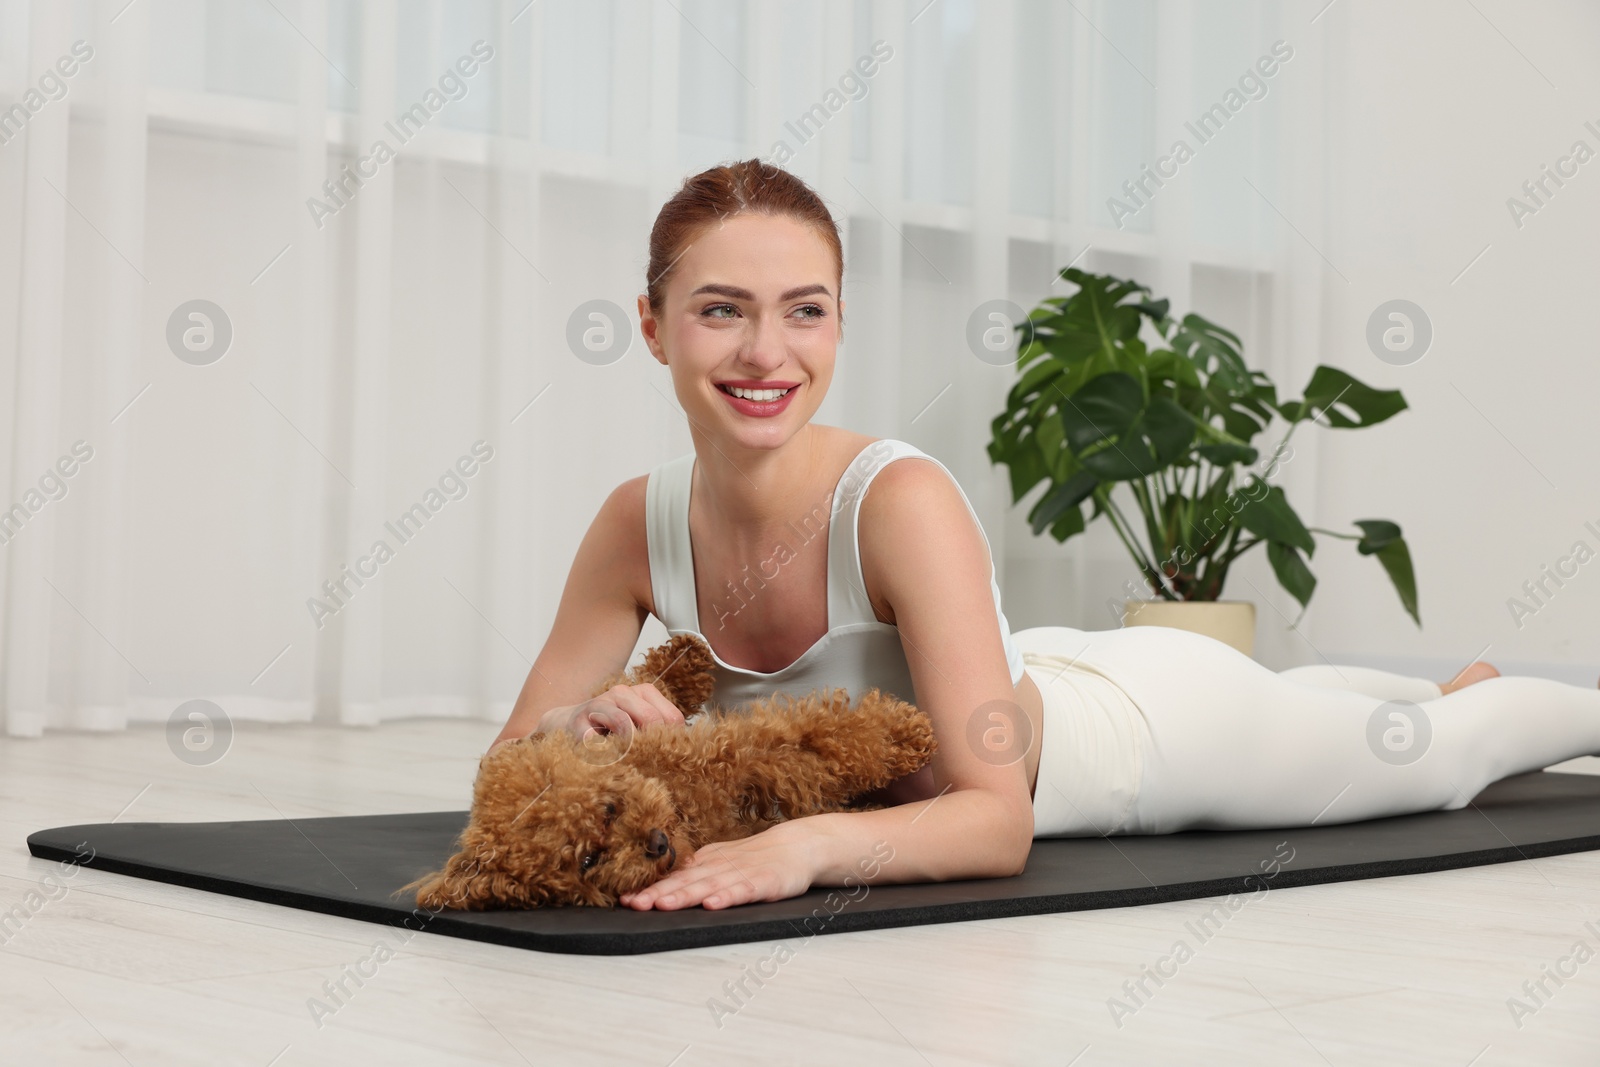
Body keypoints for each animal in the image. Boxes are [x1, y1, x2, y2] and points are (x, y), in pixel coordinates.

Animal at [398, 633, 934, 908]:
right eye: (589, 860)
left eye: (609, 808)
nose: (655, 844)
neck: (683, 805)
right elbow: (810, 751)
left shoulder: (719, 751)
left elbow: (812, 737)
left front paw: (903, 736)